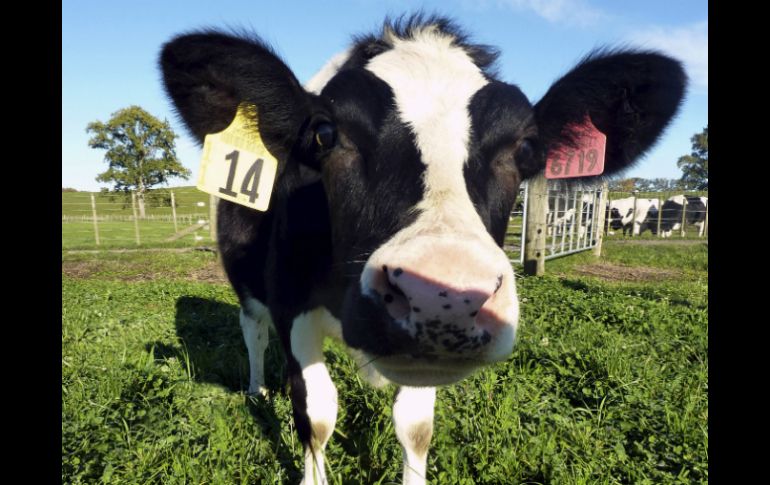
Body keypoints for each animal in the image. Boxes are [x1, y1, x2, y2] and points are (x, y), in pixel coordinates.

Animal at [160, 15, 686, 485]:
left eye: (526, 148)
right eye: (325, 134)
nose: (443, 296)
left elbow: (415, 427)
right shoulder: (292, 303)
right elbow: (317, 414)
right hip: (247, 280)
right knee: (253, 331)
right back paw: (256, 389)